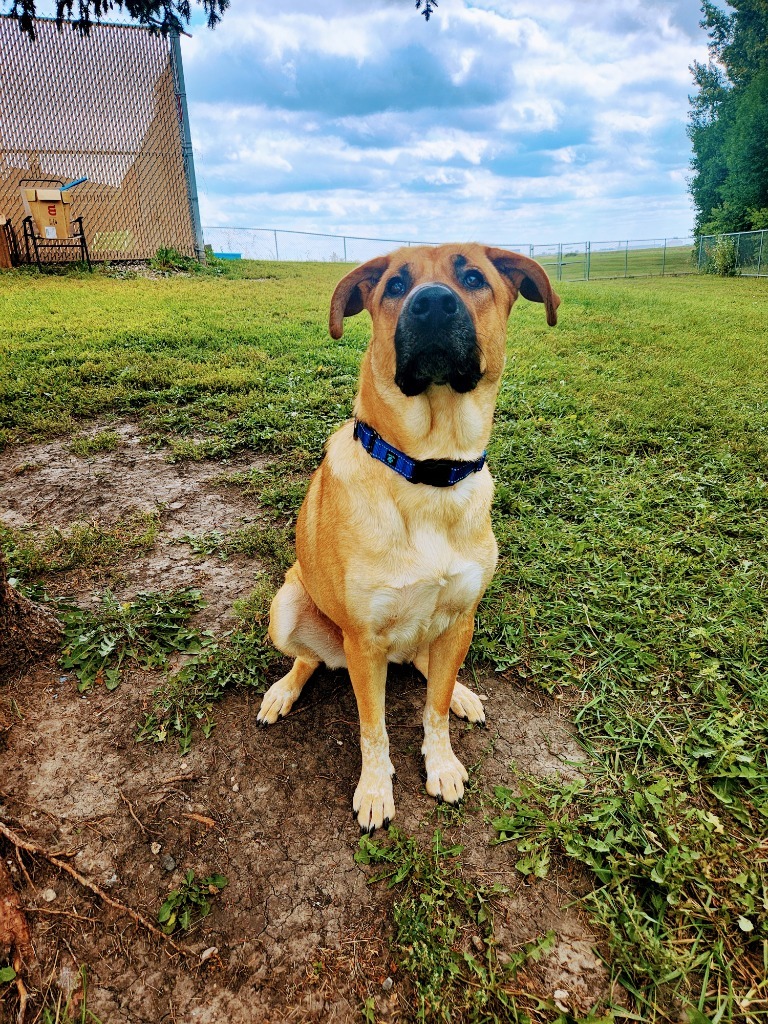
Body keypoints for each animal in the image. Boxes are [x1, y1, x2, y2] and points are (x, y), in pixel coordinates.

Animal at [259, 245, 561, 831]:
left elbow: (434, 708)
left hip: (443, 632)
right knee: (308, 659)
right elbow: (372, 728)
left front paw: (441, 762)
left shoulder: (461, 617)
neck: (429, 472)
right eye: (395, 286)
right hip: (290, 606)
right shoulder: (363, 640)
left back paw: (463, 692)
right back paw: (283, 691)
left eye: (473, 277)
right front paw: (376, 789)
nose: (433, 305)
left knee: (427, 668)